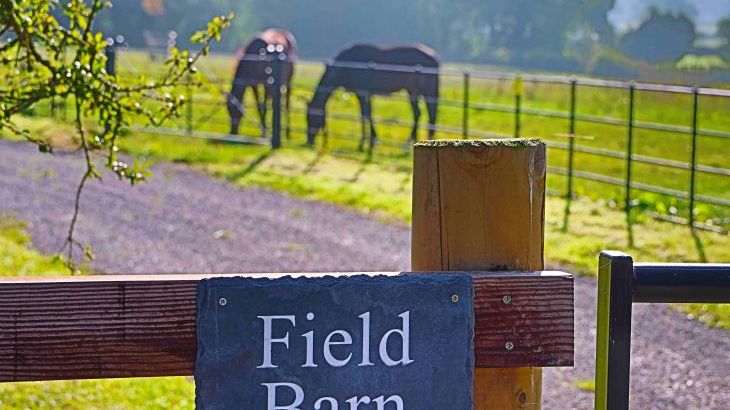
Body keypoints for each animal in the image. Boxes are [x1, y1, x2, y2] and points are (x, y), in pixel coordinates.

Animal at [306, 43, 438, 148]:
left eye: (311, 117)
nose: (309, 141)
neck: (346, 66)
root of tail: (433, 56)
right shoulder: (363, 94)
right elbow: (366, 113)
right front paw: (369, 140)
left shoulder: (362, 93)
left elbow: (366, 114)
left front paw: (367, 141)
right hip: (413, 92)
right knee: (418, 113)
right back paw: (412, 140)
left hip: (422, 92)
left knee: (425, 113)